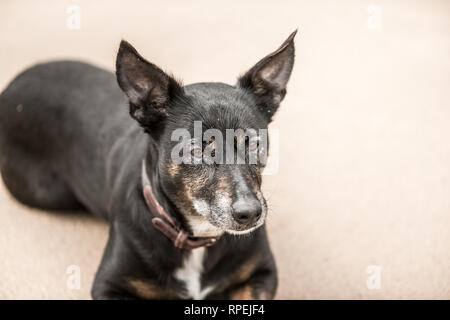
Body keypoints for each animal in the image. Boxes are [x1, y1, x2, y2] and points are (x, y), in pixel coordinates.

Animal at [0, 31, 298, 298]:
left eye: (252, 143)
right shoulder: (108, 285)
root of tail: (14, 83)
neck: (197, 238)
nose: (250, 213)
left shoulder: (263, 273)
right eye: (196, 149)